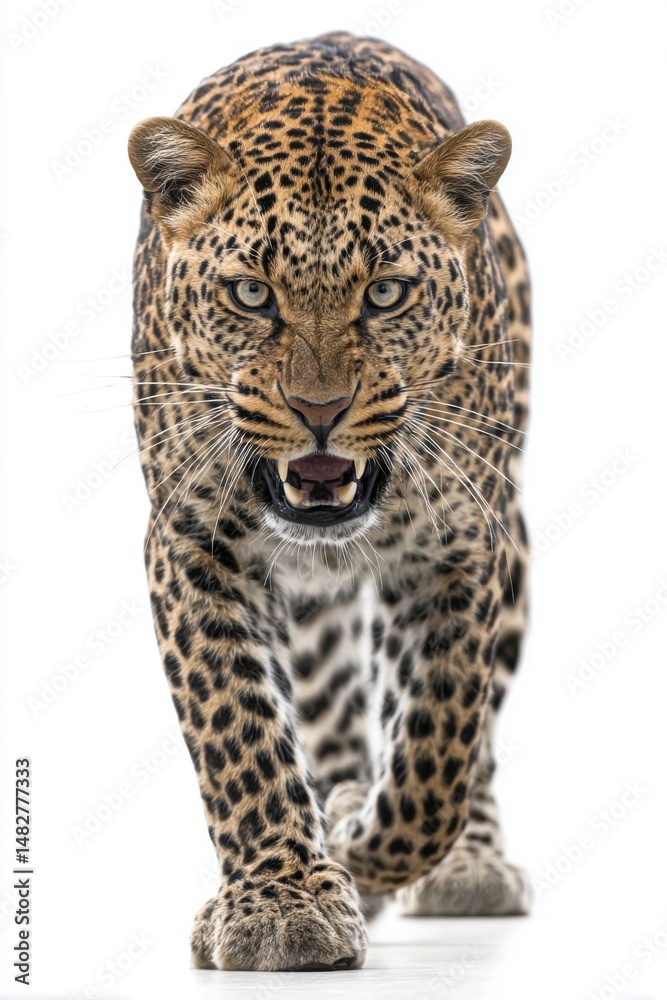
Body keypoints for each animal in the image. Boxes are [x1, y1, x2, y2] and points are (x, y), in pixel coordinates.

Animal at [127, 31, 532, 973]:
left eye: (385, 293)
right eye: (250, 293)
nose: (319, 411)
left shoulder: (460, 550)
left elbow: (435, 754)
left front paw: (358, 840)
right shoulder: (190, 546)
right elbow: (239, 733)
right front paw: (281, 902)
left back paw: (464, 865)